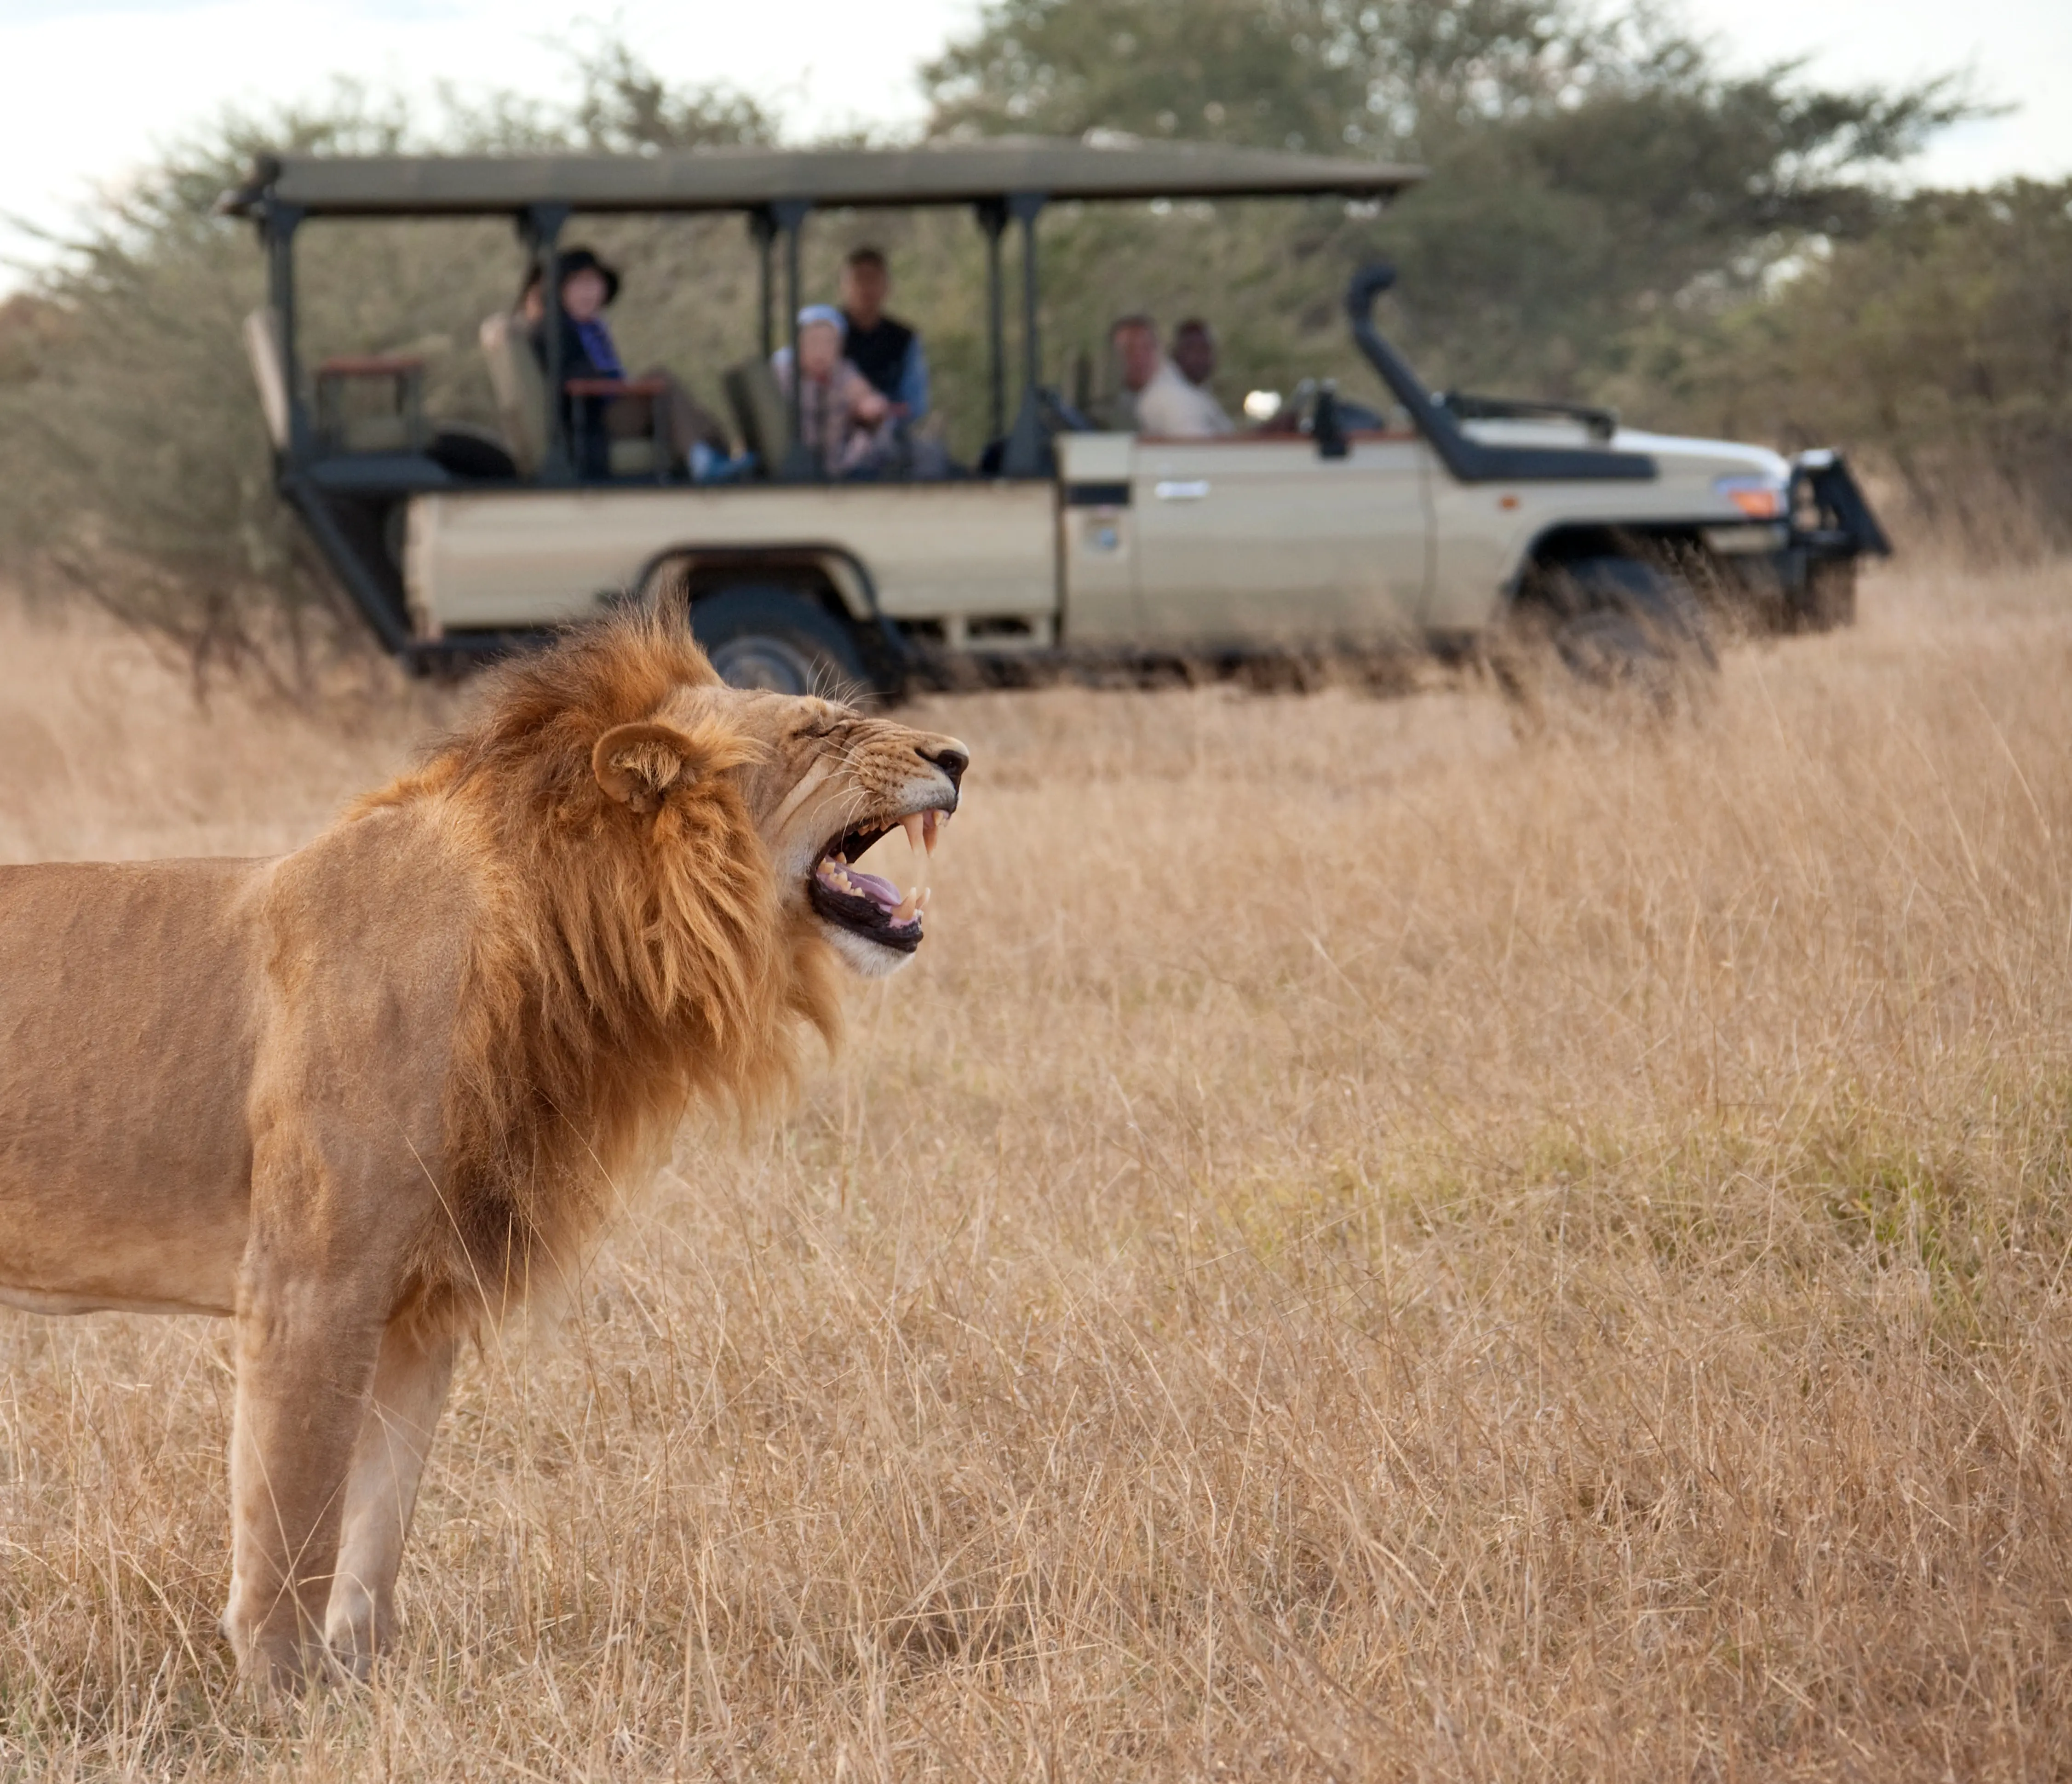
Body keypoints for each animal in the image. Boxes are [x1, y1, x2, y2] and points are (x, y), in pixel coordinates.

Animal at [0, 613, 970, 1682]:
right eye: (816, 729)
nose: (958, 756)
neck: (560, 942)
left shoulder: (421, 1303)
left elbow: (377, 1517)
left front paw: (363, 1677)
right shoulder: (309, 1284)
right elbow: (294, 1516)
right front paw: (279, 1687)